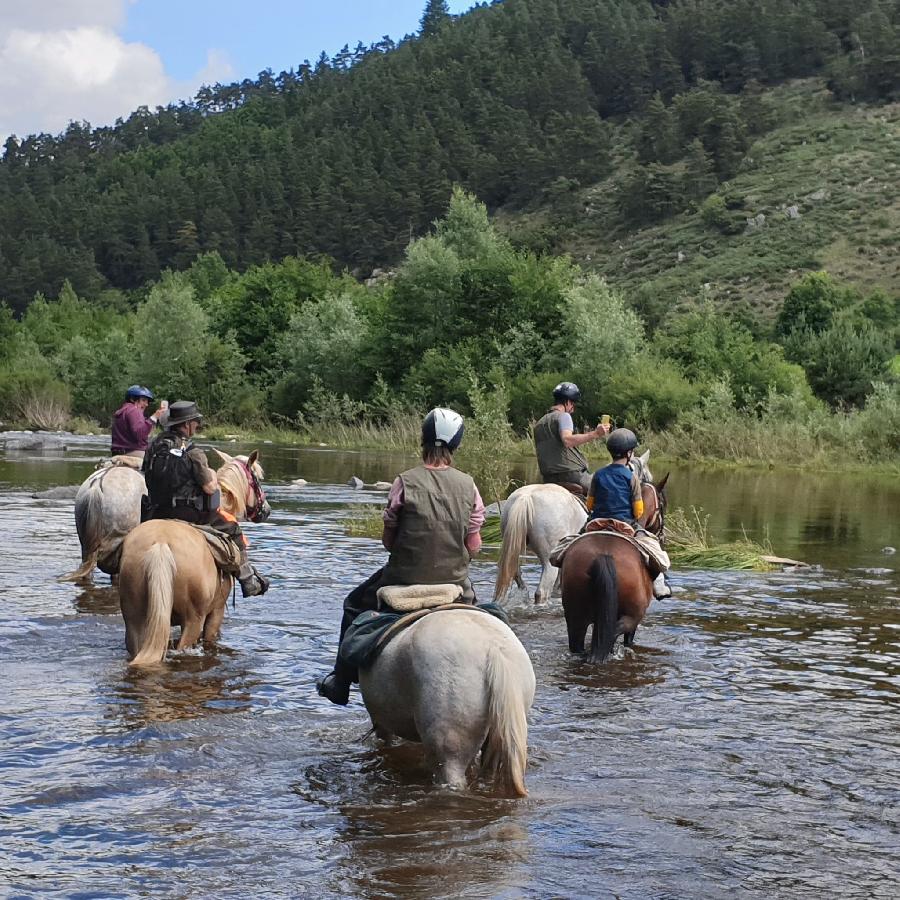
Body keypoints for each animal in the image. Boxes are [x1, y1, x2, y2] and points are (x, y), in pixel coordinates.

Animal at [115, 450, 268, 668]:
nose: (266, 510)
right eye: (257, 479)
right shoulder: (216, 613)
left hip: (134, 618)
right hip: (193, 620)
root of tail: (160, 544)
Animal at [564, 464, 668, 660]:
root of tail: (603, 555)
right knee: (610, 637)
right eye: (663, 505)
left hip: (575, 616)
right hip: (630, 616)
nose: (662, 535)